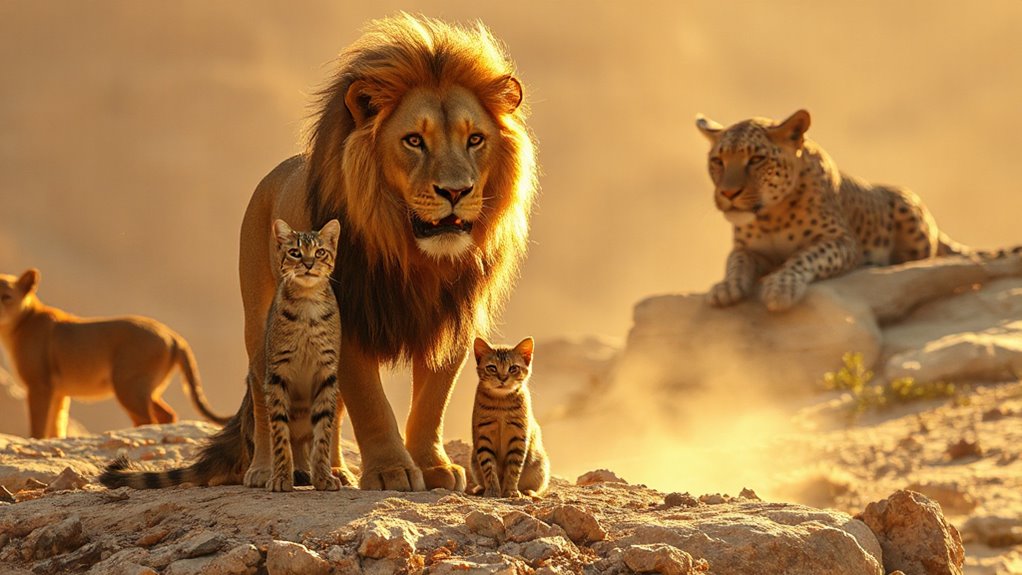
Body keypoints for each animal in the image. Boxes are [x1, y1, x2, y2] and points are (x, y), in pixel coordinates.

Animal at [0, 269, 230, 438]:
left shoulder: (40, 386)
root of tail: (173, 335)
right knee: (166, 414)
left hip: (128, 386)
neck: (16, 327)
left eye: (6, 297)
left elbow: (39, 425)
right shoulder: (58, 392)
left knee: (149, 419)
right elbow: (57, 423)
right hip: (142, 389)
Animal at [100, 14, 537, 492]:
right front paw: (391, 471)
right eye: (413, 141)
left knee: (330, 407)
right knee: (264, 395)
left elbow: (429, 403)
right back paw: (265, 470)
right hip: (260, 323)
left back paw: (334, 471)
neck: (414, 255)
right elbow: (369, 401)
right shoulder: (350, 314)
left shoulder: (450, 321)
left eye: (475, 139)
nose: (456, 192)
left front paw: (433, 466)